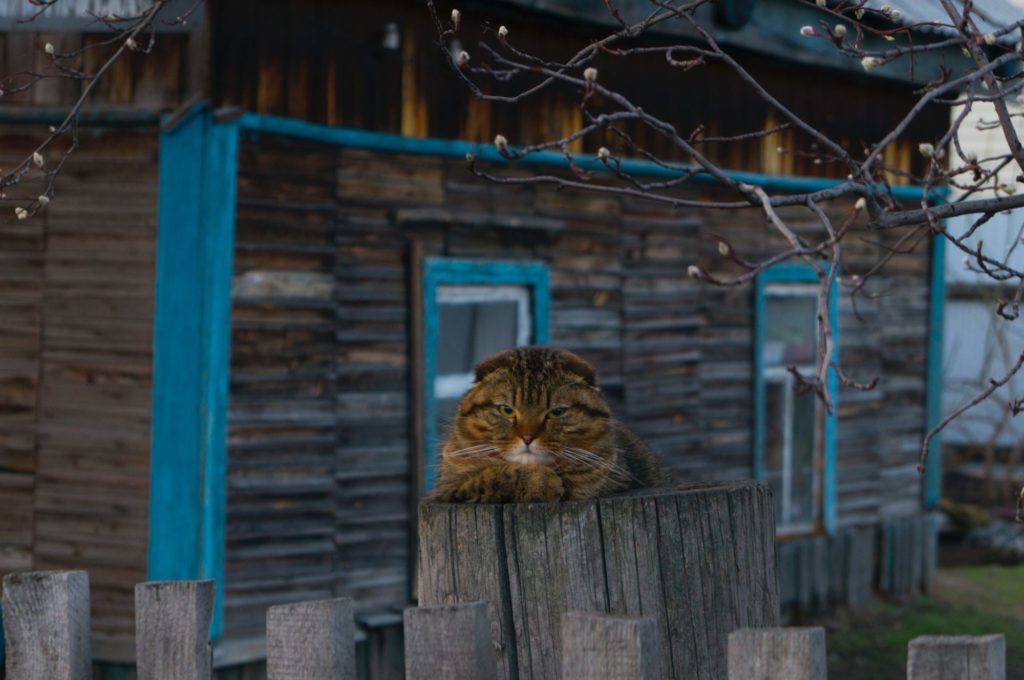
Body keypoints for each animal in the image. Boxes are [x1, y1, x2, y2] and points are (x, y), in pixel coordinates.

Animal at [432, 348, 671, 501]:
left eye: (557, 412)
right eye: (506, 409)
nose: (527, 437)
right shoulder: (447, 490)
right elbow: (494, 476)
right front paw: (543, 483)